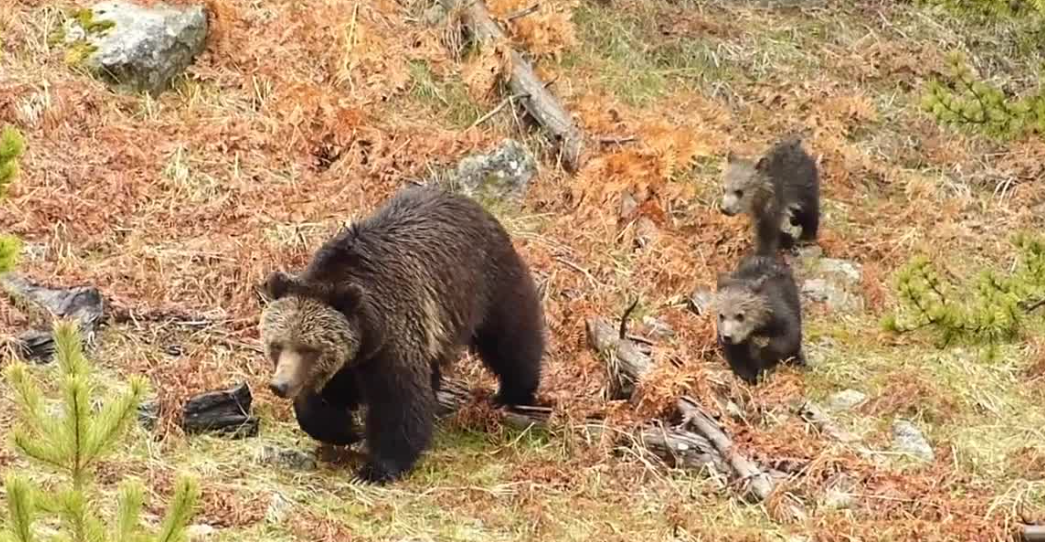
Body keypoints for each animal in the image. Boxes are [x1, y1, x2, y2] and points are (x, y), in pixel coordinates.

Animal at [258, 184, 546, 483]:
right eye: (276, 345)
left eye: (309, 349)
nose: (280, 385)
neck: (367, 334)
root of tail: (468, 201)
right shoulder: (348, 359)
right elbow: (319, 402)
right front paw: (343, 430)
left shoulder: (393, 337)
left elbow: (399, 403)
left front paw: (376, 468)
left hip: (485, 284)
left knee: (511, 338)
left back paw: (515, 393)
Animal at [713, 253, 804, 384]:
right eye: (721, 315)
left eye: (740, 315)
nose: (727, 336)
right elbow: (737, 355)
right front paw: (751, 375)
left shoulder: (778, 313)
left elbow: (789, 337)